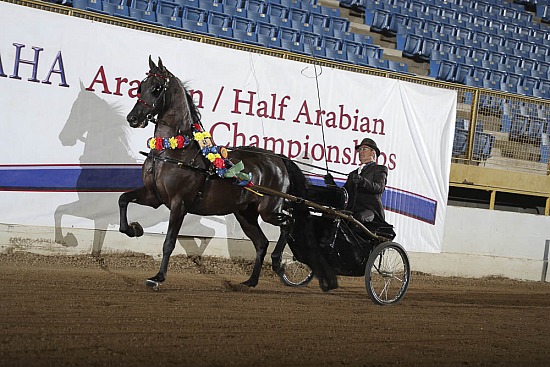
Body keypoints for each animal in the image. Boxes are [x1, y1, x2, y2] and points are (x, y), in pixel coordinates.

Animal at [119, 57, 336, 292]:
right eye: (140, 87)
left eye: (157, 88)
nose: (133, 118)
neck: (174, 150)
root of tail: (279, 159)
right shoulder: (154, 196)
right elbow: (123, 199)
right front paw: (133, 229)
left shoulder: (179, 203)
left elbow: (169, 241)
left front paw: (158, 277)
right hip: (245, 214)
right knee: (261, 242)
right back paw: (251, 281)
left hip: (269, 210)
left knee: (288, 223)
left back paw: (278, 262)